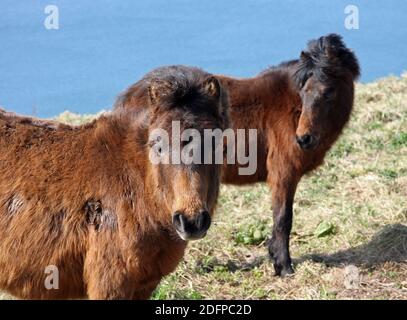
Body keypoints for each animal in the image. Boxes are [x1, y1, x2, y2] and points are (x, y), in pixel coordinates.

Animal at [116, 33, 362, 276]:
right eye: (303, 92)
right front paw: (284, 267)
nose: (303, 138)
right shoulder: (283, 173)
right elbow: (283, 219)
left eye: (328, 92)